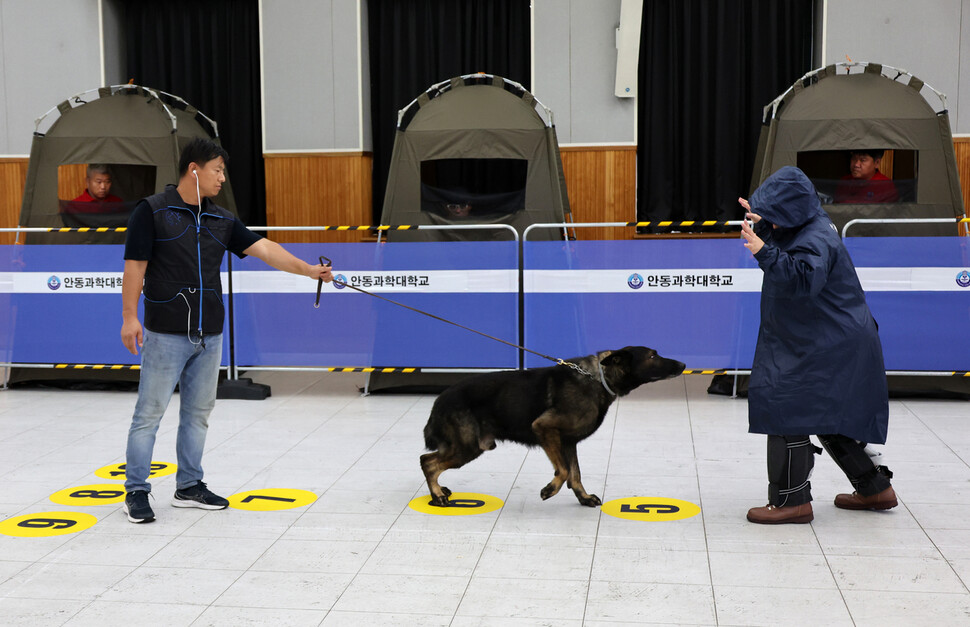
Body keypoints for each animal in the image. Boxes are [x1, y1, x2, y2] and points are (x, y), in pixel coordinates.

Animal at [416, 346, 680, 508]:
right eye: (653, 356)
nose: (682, 363)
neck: (599, 378)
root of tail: (440, 398)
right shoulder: (544, 428)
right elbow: (562, 471)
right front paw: (550, 490)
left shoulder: (569, 443)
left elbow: (575, 474)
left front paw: (583, 497)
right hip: (468, 447)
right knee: (428, 462)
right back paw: (437, 495)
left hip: (469, 447)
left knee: (428, 459)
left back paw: (439, 490)